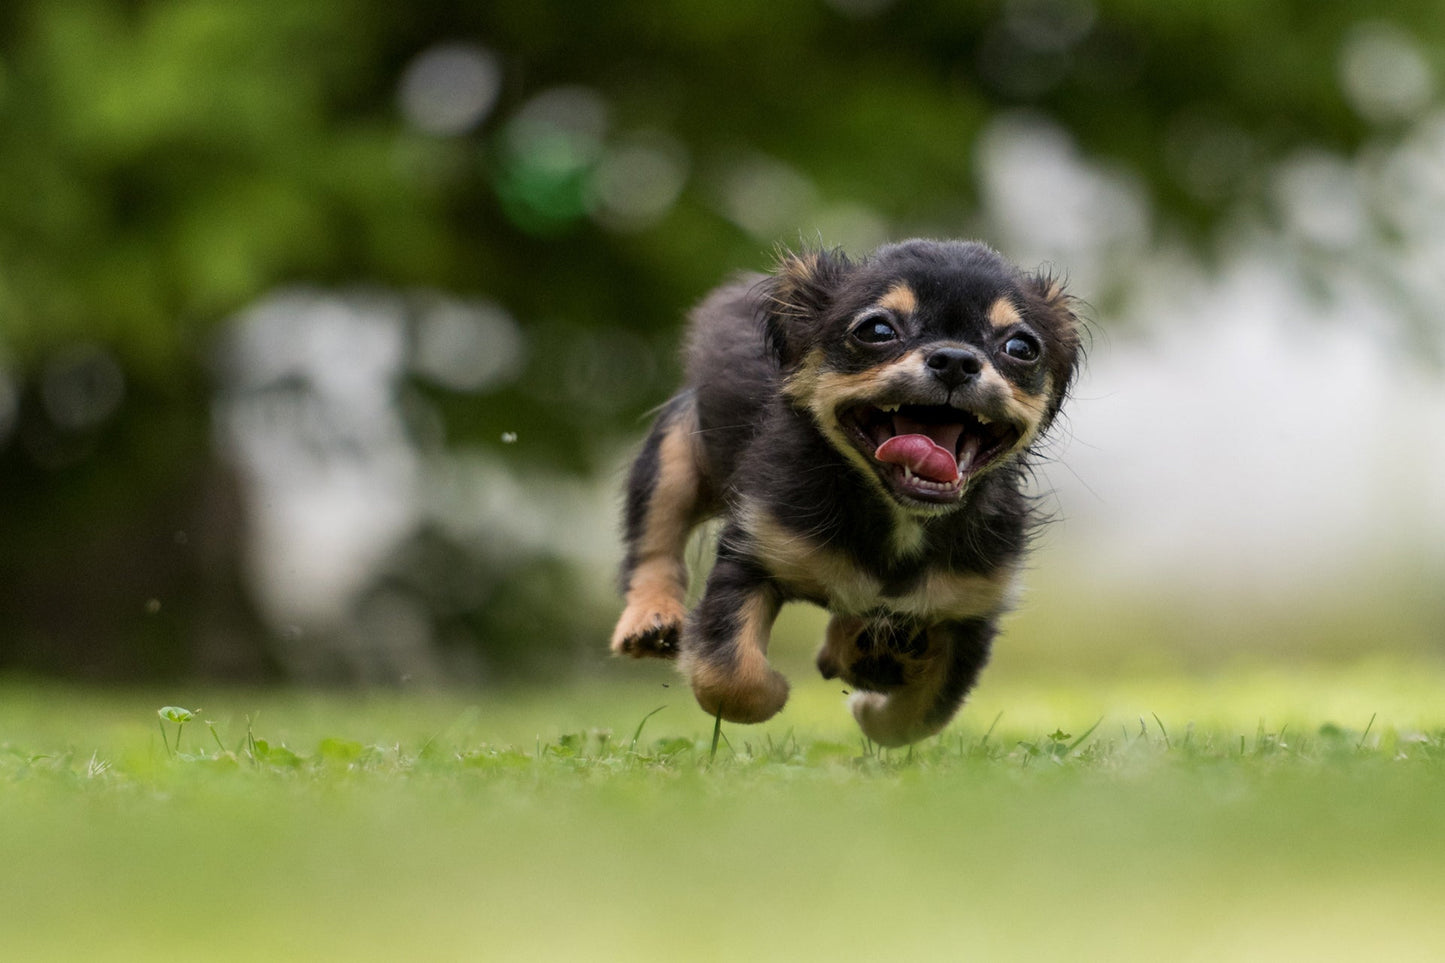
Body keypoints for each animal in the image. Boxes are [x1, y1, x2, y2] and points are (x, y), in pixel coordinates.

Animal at [612, 235, 1086, 746]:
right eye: (877, 330)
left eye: (1021, 347)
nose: (956, 360)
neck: (899, 516)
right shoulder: (753, 555)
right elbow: (730, 678)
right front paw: (777, 691)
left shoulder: (969, 610)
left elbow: (919, 716)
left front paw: (868, 705)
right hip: (673, 456)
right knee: (654, 543)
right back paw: (650, 620)